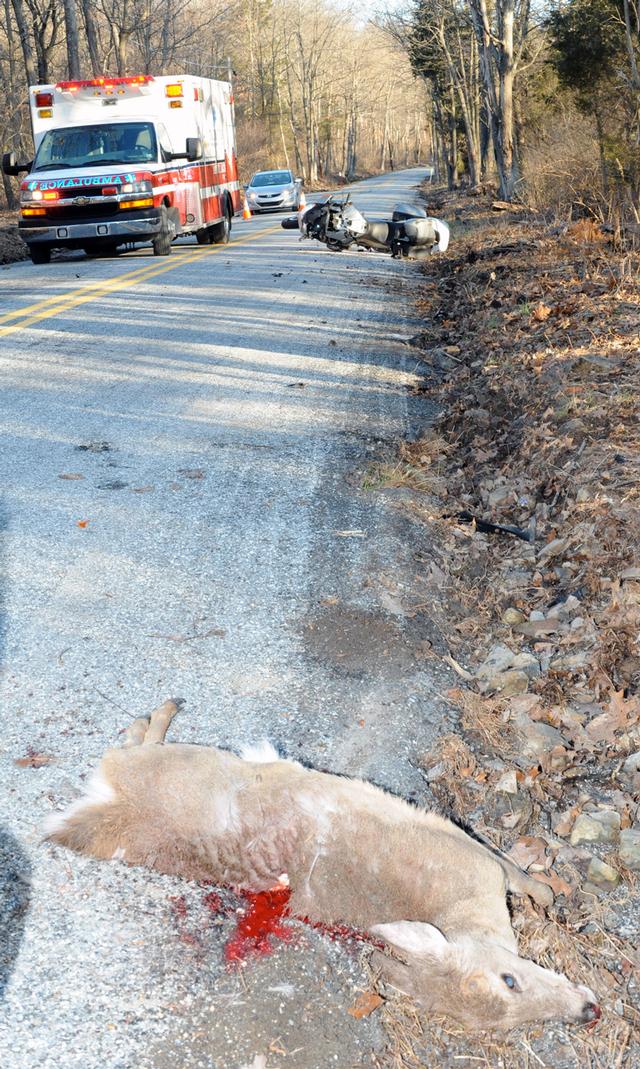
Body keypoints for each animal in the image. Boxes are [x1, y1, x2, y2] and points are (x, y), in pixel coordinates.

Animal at [45, 696, 602, 1030]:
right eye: (509, 981)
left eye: (516, 1024)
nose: (589, 1010)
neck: (460, 911)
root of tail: (98, 816)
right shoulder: (461, 845)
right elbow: (510, 866)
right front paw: (548, 893)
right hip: (173, 762)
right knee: (126, 746)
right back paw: (163, 709)